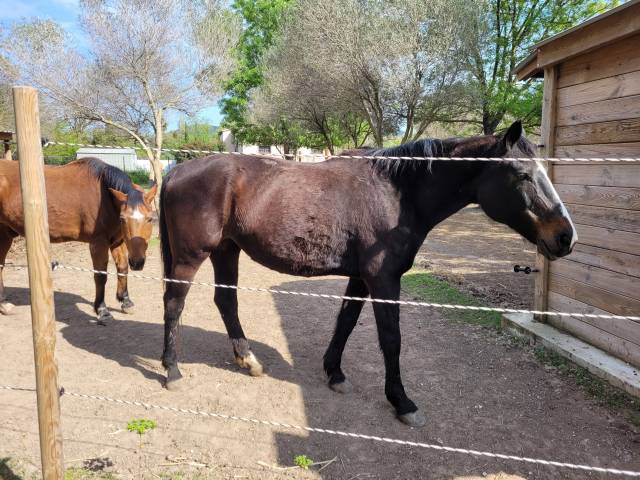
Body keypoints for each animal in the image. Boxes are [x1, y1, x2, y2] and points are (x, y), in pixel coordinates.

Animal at [0, 157, 157, 323]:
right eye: (123, 219)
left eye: (150, 218)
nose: (137, 262)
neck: (105, 197)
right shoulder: (98, 243)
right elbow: (100, 276)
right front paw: (102, 310)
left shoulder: (117, 242)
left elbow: (122, 268)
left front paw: (125, 301)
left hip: (4, 235)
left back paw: (3, 305)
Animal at [158, 121, 577, 427]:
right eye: (522, 174)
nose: (565, 236)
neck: (396, 193)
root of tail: (179, 169)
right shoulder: (384, 280)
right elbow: (391, 339)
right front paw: (402, 402)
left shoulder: (361, 278)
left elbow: (345, 322)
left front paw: (335, 373)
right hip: (192, 256)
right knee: (174, 304)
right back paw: (172, 370)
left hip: (226, 250)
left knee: (225, 301)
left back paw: (248, 360)